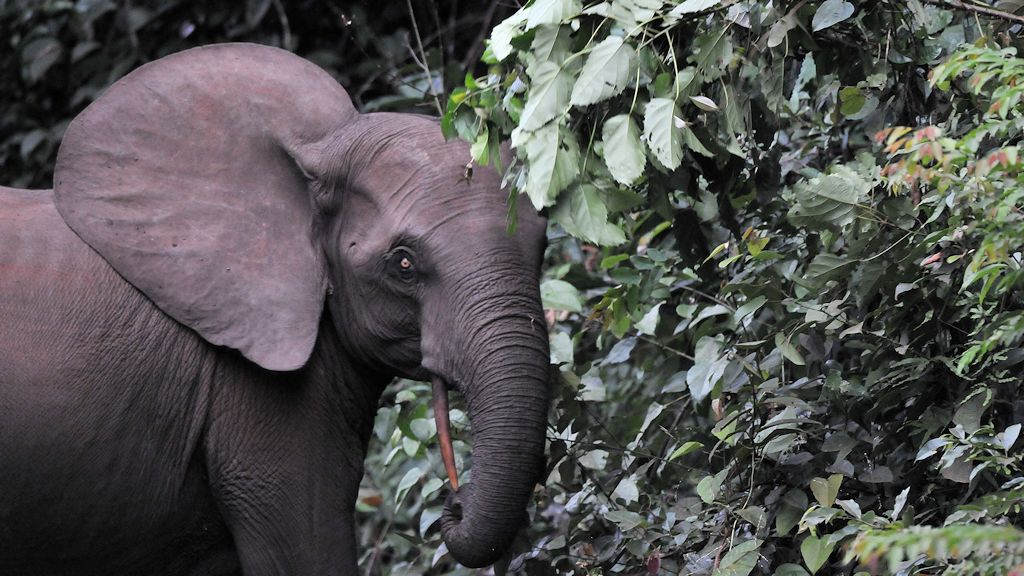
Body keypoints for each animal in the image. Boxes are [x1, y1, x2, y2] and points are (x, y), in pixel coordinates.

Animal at [0, 43, 549, 574]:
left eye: (542, 245)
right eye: (404, 264)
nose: (453, 504)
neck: (319, 151)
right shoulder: (250, 395)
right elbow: (307, 553)